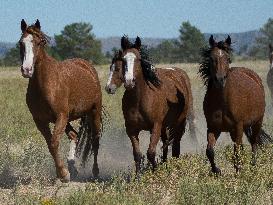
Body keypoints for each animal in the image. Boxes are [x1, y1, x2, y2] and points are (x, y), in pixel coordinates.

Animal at [18, 19, 102, 183]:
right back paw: (73, 167)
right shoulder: (40, 121)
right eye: (21, 43)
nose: (26, 69)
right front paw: (63, 172)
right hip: (69, 118)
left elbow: (54, 142)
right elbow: (50, 144)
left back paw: (95, 172)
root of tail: (87, 67)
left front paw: (63, 174)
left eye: (40, 42)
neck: (44, 85)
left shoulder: (60, 116)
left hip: (94, 112)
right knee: (74, 135)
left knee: (95, 141)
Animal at [104, 36, 196, 173]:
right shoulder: (131, 129)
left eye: (138, 59)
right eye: (123, 61)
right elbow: (137, 154)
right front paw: (138, 175)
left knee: (175, 145)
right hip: (165, 126)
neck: (139, 100)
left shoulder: (155, 126)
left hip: (178, 122)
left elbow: (151, 152)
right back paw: (165, 163)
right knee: (166, 144)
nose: (129, 82)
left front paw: (155, 172)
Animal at [199, 34, 270, 173]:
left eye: (228, 58)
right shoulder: (213, 128)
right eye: (211, 58)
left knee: (253, 142)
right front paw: (217, 171)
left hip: (256, 123)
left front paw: (238, 173)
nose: (220, 80)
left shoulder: (238, 126)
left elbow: (236, 152)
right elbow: (209, 151)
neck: (221, 103)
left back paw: (253, 166)